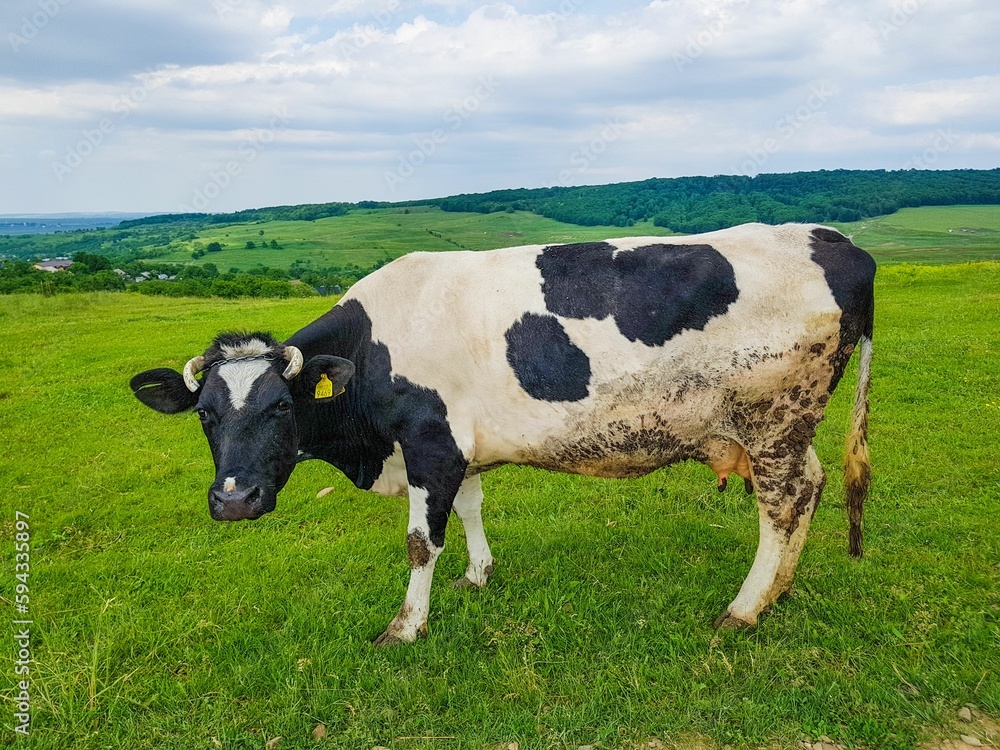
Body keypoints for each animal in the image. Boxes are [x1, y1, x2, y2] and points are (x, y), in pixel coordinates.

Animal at [133, 225, 876, 648]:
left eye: (280, 409)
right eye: (205, 415)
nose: (233, 500)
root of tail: (836, 241)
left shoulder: (430, 441)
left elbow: (419, 541)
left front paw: (406, 626)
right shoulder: (459, 448)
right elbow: (469, 508)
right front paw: (478, 574)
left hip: (774, 421)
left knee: (783, 505)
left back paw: (744, 609)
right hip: (787, 427)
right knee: (810, 490)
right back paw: (777, 593)